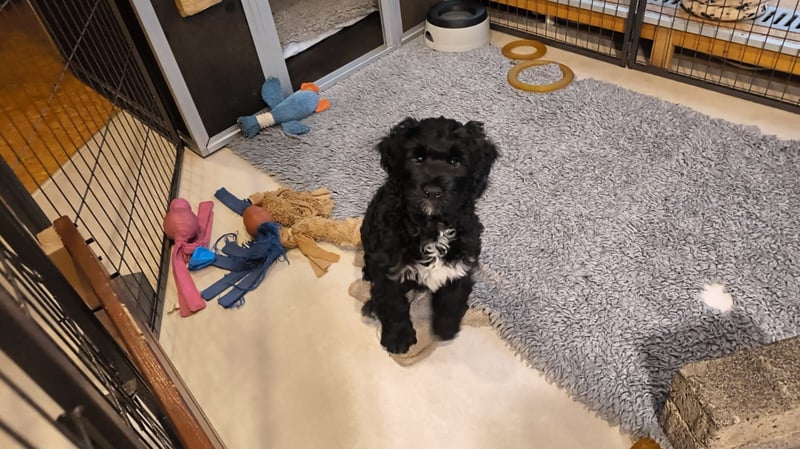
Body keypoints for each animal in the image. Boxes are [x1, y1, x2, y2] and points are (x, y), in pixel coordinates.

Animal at [360, 117, 499, 354]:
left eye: (455, 162)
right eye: (417, 158)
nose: (432, 192)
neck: (431, 226)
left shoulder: (463, 259)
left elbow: (453, 296)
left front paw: (446, 327)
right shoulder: (389, 268)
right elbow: (394, 304)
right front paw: (398, 339)